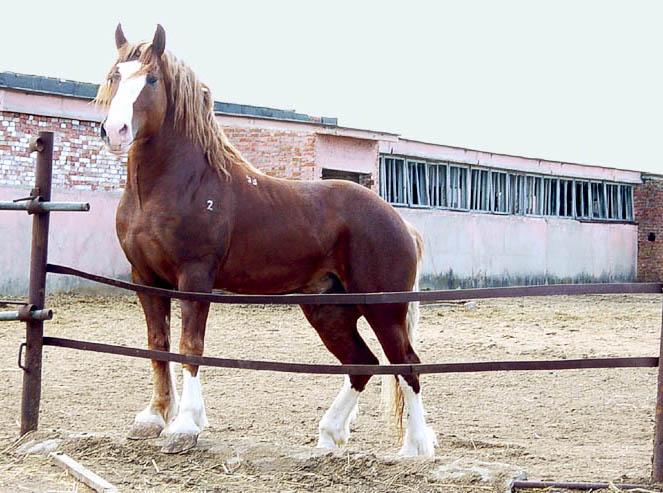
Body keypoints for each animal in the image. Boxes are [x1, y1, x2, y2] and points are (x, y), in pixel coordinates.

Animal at [96, 23, 437, 456]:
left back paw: (415, 448)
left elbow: (190, 346)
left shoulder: (195, 280)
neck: (178, 185)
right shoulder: (145, 279)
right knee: (363, 363)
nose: (115, 131)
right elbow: (158, 344)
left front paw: (185, 425)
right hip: (328, 308)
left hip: (384, 306)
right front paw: (154, 418)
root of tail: (400, 222)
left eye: (152, 78)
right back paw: (330, 434)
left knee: (406, 363)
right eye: (115, 75)